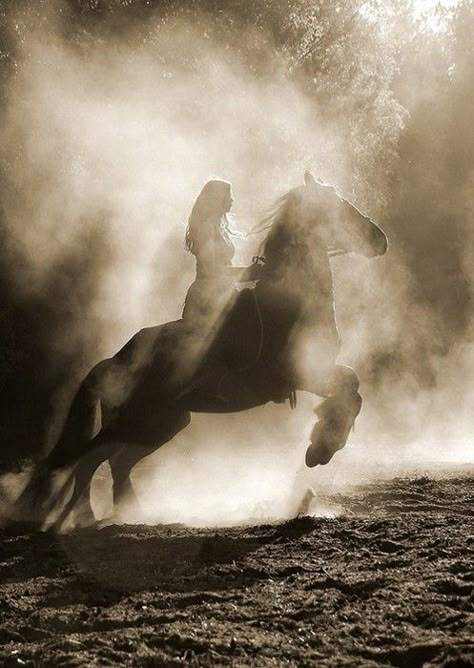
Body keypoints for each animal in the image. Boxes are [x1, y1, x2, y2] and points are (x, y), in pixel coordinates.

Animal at [12, 172, 386, 532]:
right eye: (337, 206)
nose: (380, 238)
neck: (289, 300)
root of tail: (113, 360)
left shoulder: (318, 371)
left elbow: (352, 388)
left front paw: (322, 444)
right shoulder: (300, 373)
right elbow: (350, 390)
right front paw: (320, 448)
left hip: (161, 423)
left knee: (114, 462)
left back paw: (129, 514)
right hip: (138, 422)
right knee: (87, 458)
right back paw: (78, 519)